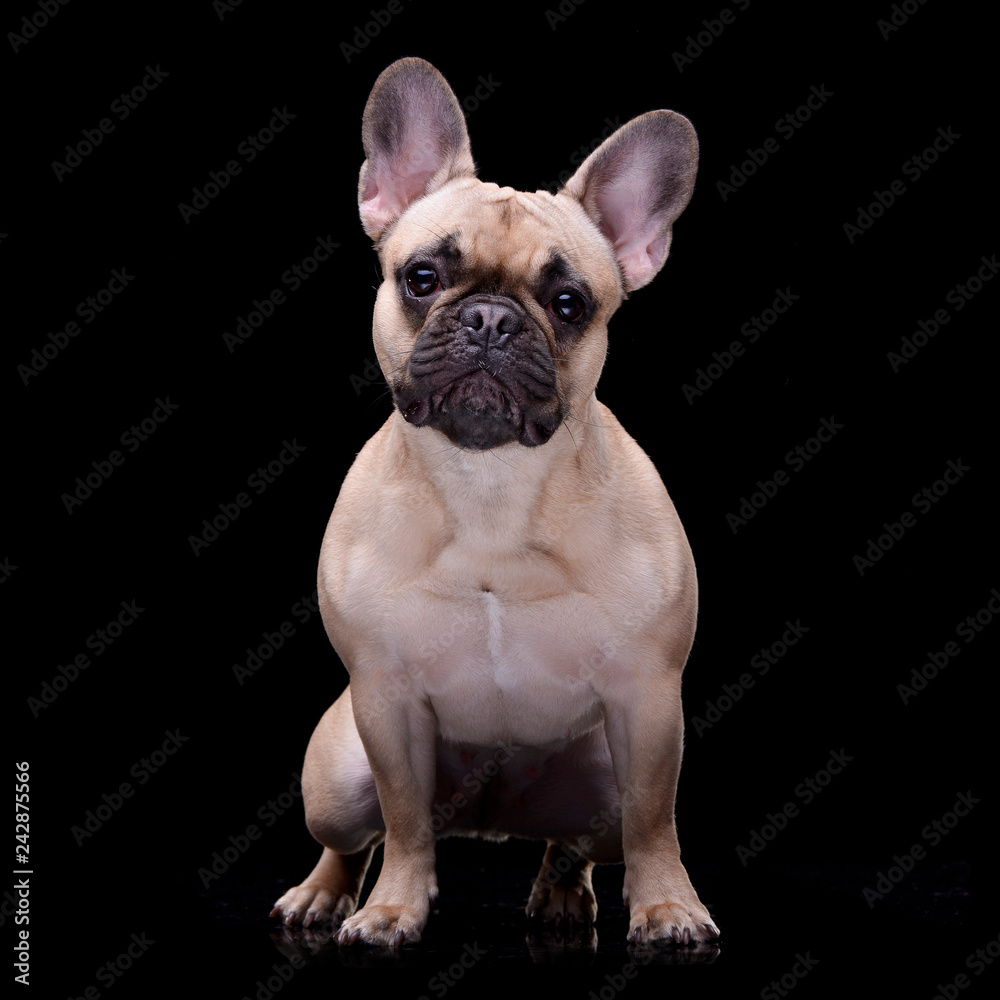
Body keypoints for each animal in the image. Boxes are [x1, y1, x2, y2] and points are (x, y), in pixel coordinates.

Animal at [270, 58, 716, 948]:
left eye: (570, 303)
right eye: (423, 278)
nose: (488, 317)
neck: (493, 482)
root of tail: (491, 816)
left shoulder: (650, 700)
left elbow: (657, 821)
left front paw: (668, 906)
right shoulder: (385, 696)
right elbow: (405, 820)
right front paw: (393, 909)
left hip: (603, 771)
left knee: (584, 840)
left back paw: (561, 897)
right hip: (334, 776)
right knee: (352, 835)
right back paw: (323, 895)